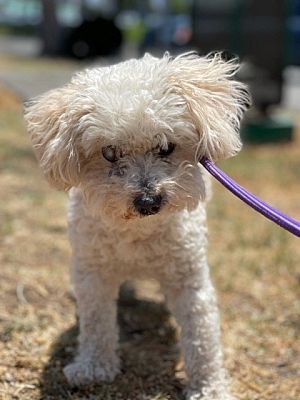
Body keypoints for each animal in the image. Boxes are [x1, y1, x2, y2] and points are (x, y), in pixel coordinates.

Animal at [25, 53, 248, 400]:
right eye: (109, 152)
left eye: (166, 147)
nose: (148, 201)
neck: (139, 232)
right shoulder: (94, 273)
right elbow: (96, 323)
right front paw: (94, 367)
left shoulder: (189, 279)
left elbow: (202, 336)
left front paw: (209, 387)